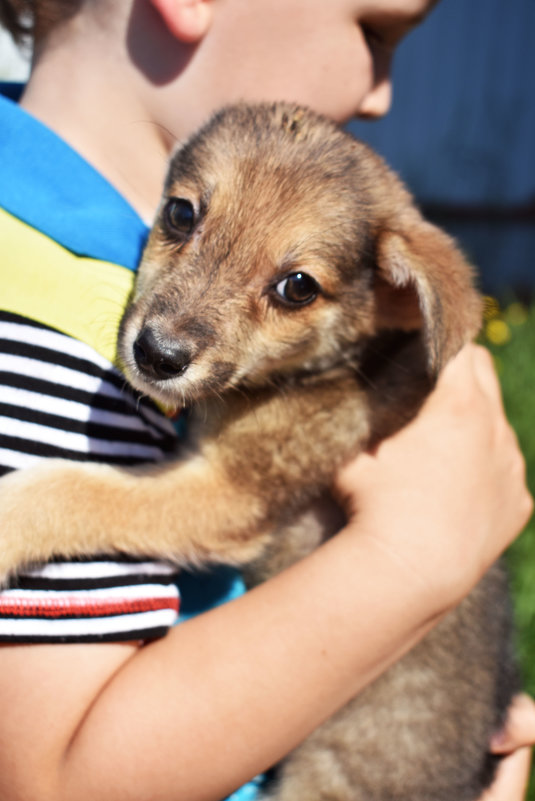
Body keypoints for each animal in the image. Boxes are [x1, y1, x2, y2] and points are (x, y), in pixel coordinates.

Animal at [0, 104, 516, 800]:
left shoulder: (230, 494)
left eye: (298, 287)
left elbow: (78, 488)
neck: (322, 369)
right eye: (181, 214)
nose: (155, 355)